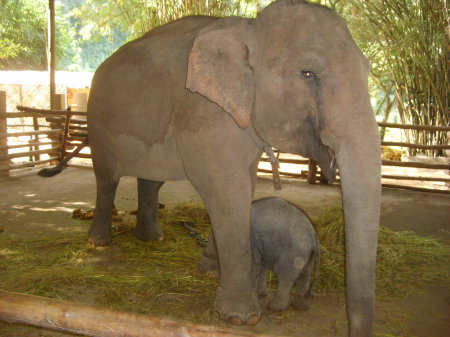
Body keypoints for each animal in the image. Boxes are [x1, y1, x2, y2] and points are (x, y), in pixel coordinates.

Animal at [87, 1, 380, 334]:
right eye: (308, 74)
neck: (249, 28)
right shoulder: (203, 110)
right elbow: (226, 190)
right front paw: (242, 317)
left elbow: (241, 188)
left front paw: (211, 271)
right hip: (98, 120)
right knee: (107, 177)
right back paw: (99, 243)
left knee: (151, 179)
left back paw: (152, 239)